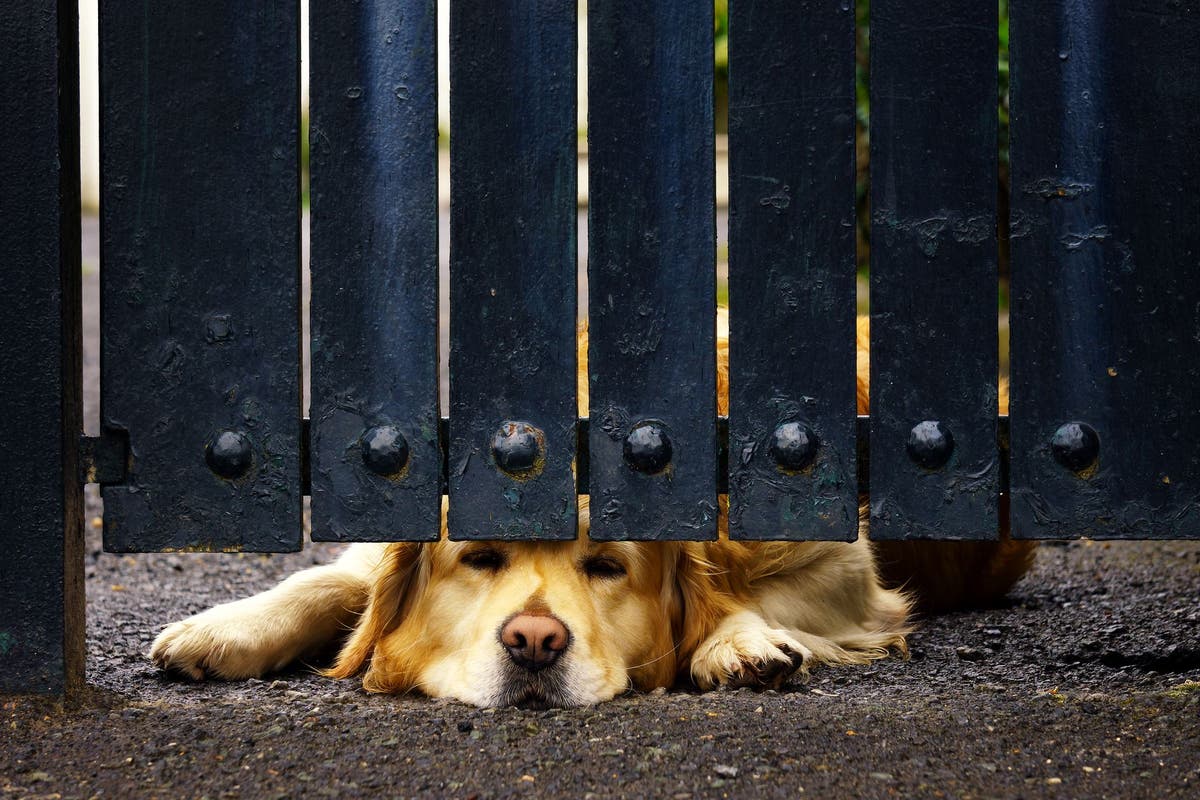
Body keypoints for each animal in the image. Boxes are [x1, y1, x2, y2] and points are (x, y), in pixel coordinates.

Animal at [150, 316, 1032, 710]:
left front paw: (735, 640)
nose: (534, 642)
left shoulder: (850, 571)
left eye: (608, 567)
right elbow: (334, 583)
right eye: (479, 558)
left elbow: (744, 596)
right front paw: (221, 628)